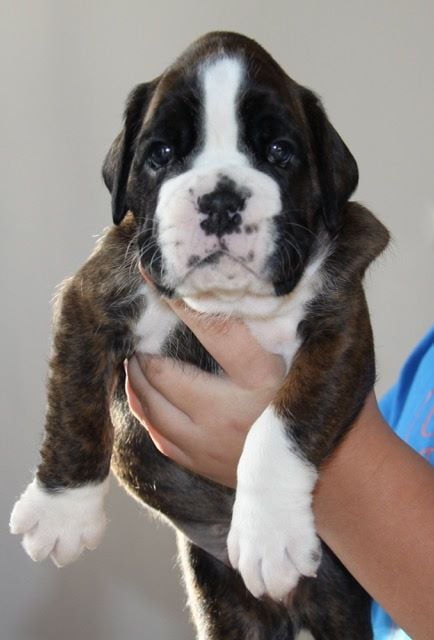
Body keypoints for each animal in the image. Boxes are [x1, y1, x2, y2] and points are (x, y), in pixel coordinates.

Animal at [10, 32, 390, 636]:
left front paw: (269, 536)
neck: (227, 306)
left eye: (279, 152)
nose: (220, 199)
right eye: (162, 154)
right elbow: (75, 405)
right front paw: (61, 511)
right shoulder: (92, 297)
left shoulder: (340, 333)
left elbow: (284, 421)